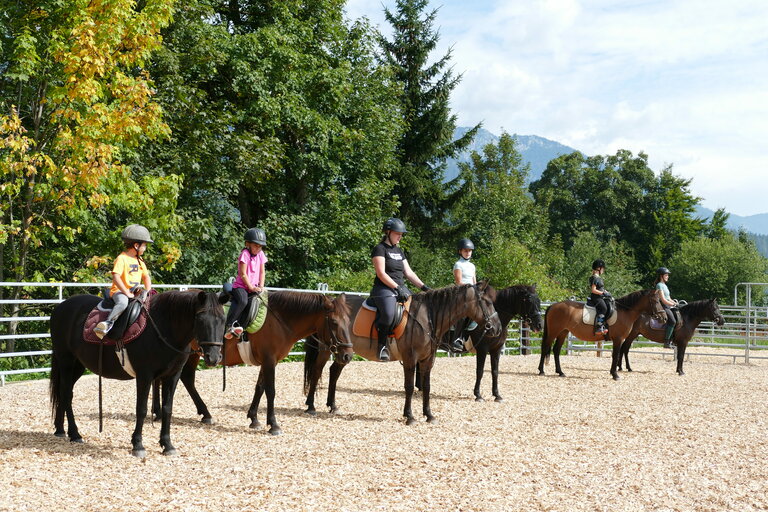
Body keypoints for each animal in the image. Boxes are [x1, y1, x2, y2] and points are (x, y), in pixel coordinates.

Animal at [48, 290, 225, 458]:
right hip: (66, 361)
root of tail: (60, 307)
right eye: (200, 319)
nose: (213, 357)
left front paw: (167, 445)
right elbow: (141, 409)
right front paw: (138, 445)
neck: (163, 329)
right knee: (66, 394)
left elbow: (167, 409)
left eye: (223, 320)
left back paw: (60, 430)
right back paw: (74, 434)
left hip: (78, 365)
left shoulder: (172, 376)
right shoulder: (144, 376)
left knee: (63, 392)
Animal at [158, 290, 356, 434]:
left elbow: (260, 388)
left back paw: (204, 414)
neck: (278, 320)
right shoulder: (269, 361)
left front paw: (254, 419)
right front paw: (273, 425)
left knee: (187, 379)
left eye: (348, 321)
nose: (348, 355)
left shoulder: (268, 361)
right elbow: (270, 391)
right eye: (334, 322)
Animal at [304, 284, 500, 424]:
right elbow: (409, 386)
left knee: (333, 372)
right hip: (326, 349)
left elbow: (426, 386)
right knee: (317, 372)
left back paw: (332, 406)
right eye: (487, 302)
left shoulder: (427, 360)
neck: (427, 318)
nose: (497, 328)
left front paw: (429, 415)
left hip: (344, 351)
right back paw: (311, 406)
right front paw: (410, 416)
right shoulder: (410, 358)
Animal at [536, 288, 664, 380]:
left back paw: (560, 372)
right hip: (553, 332)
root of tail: (553, 306)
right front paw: (615, 375)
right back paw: (541, 371)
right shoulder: (618, 339)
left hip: (563, 332)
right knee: (545, 347)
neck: (625, 312)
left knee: (556, 350)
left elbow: (617, 355)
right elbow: (615, 355)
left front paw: (614, 373)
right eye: (656, 301)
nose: (664, 317)